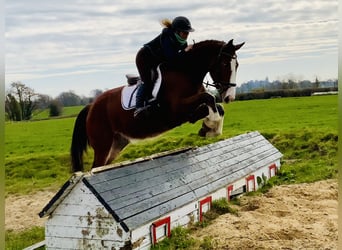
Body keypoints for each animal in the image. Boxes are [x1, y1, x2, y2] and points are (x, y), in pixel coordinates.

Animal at [71, 39, 244, 172]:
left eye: (237, 65)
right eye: (224, 64)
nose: (230, 97)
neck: (186, 72)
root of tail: (91, 107)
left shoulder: (190, 109)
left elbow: (215, 106)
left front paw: (209, 128)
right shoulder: (176, 110)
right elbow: (209, 97)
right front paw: (211, 126)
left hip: (116, 145)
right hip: (103, 145)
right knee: (95, 168)